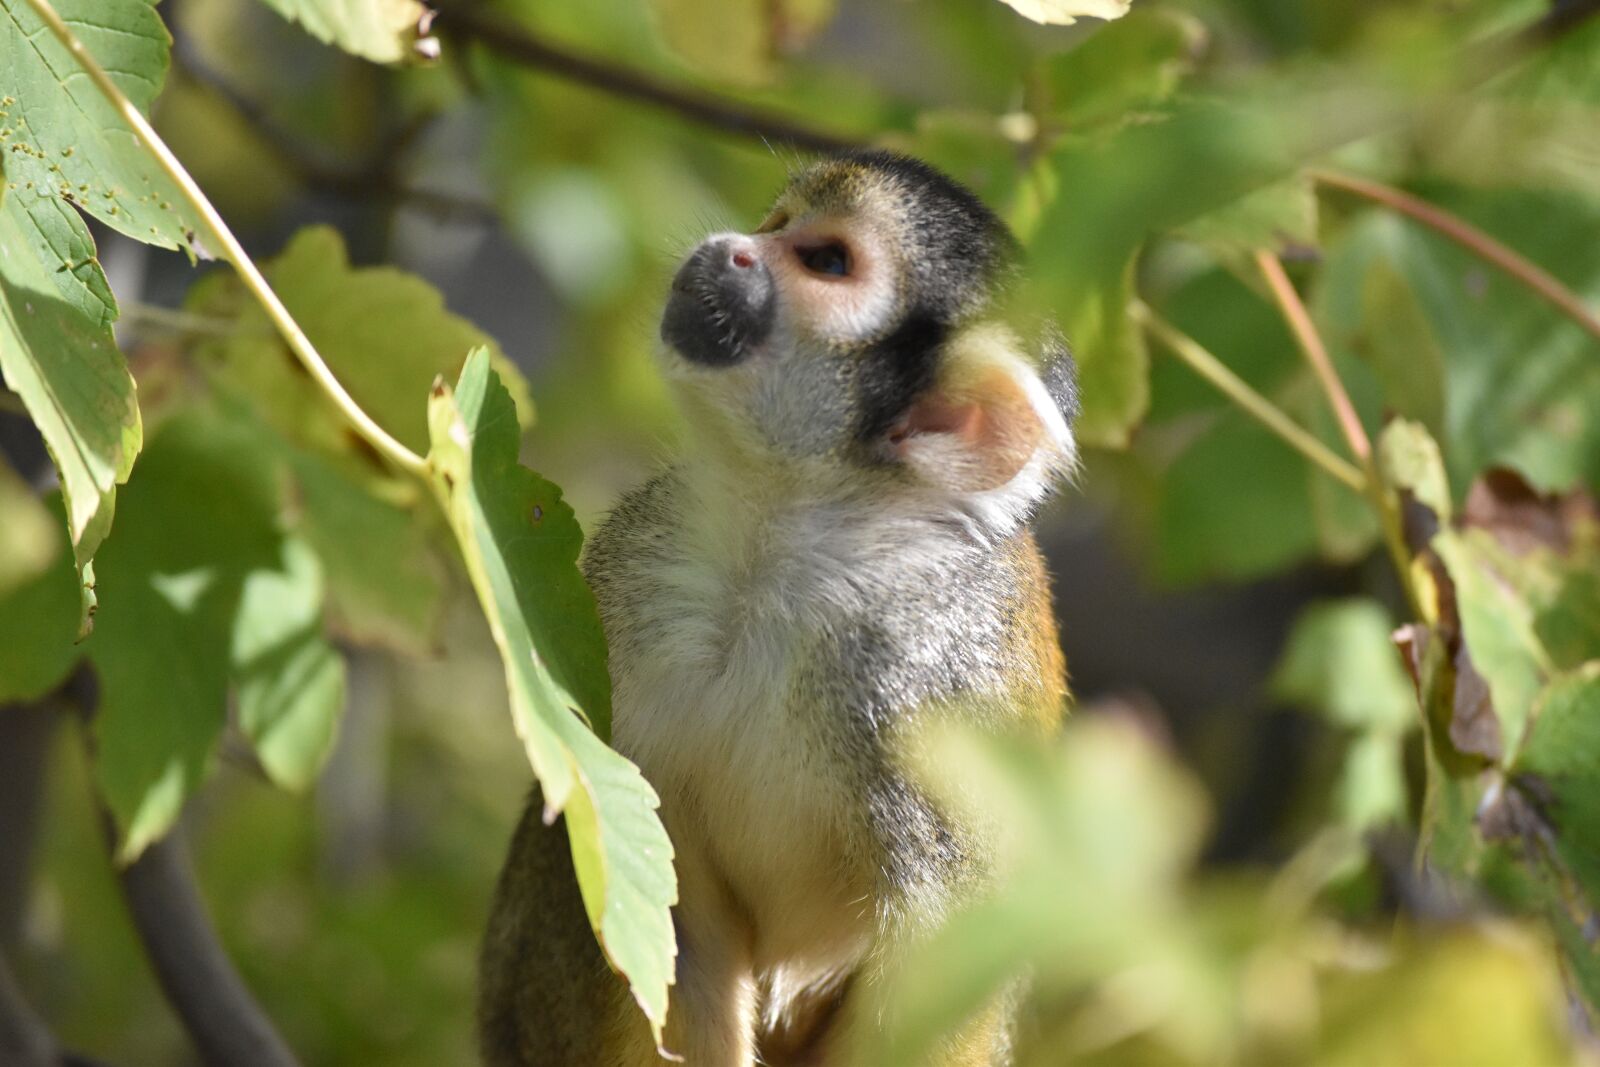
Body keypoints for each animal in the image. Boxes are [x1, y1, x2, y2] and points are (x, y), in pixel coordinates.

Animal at [478, 150, 1078, 1067]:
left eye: (826, 261)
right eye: (778, 223)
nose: (733, 247)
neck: (786, 556)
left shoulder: (940, 689)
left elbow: (944, 970)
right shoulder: (630, 590)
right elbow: (653, 885)